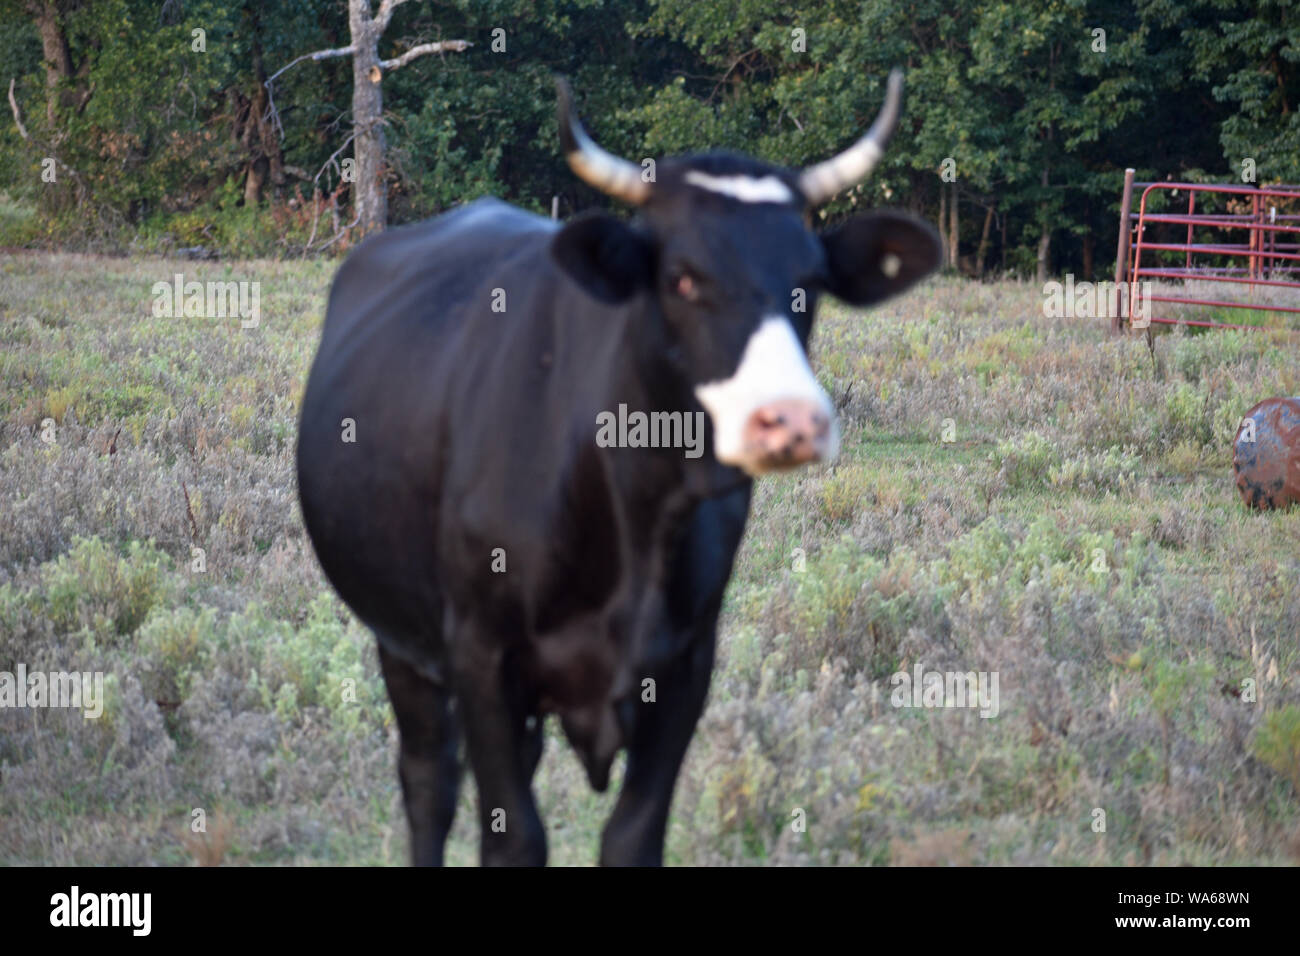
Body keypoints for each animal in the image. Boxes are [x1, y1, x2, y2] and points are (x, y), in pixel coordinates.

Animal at [296, 70, 941, 866]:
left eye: (811, 281)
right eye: (682, 278)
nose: (790, 419)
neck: (634, 516)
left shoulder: (685, 665)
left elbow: (633, 835)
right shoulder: (479, 655)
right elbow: (512, 835)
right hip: (401, 638)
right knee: (428, 783)